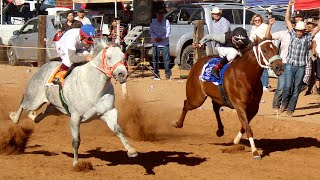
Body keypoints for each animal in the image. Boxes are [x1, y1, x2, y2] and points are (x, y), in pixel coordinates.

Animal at [9, 38, 138, 166]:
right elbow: (76, 141)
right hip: (34, 99)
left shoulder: (108, 112)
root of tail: (43, 66)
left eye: (123, 57)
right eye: (109, 57)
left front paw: (131, 150)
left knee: (41, 115)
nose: (122, 74)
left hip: (56, 108)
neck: (93, 86)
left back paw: (32, 116)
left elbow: (118, 130)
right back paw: (14, 117)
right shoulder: (75, 117)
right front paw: (76, 163)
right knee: (23, 103)